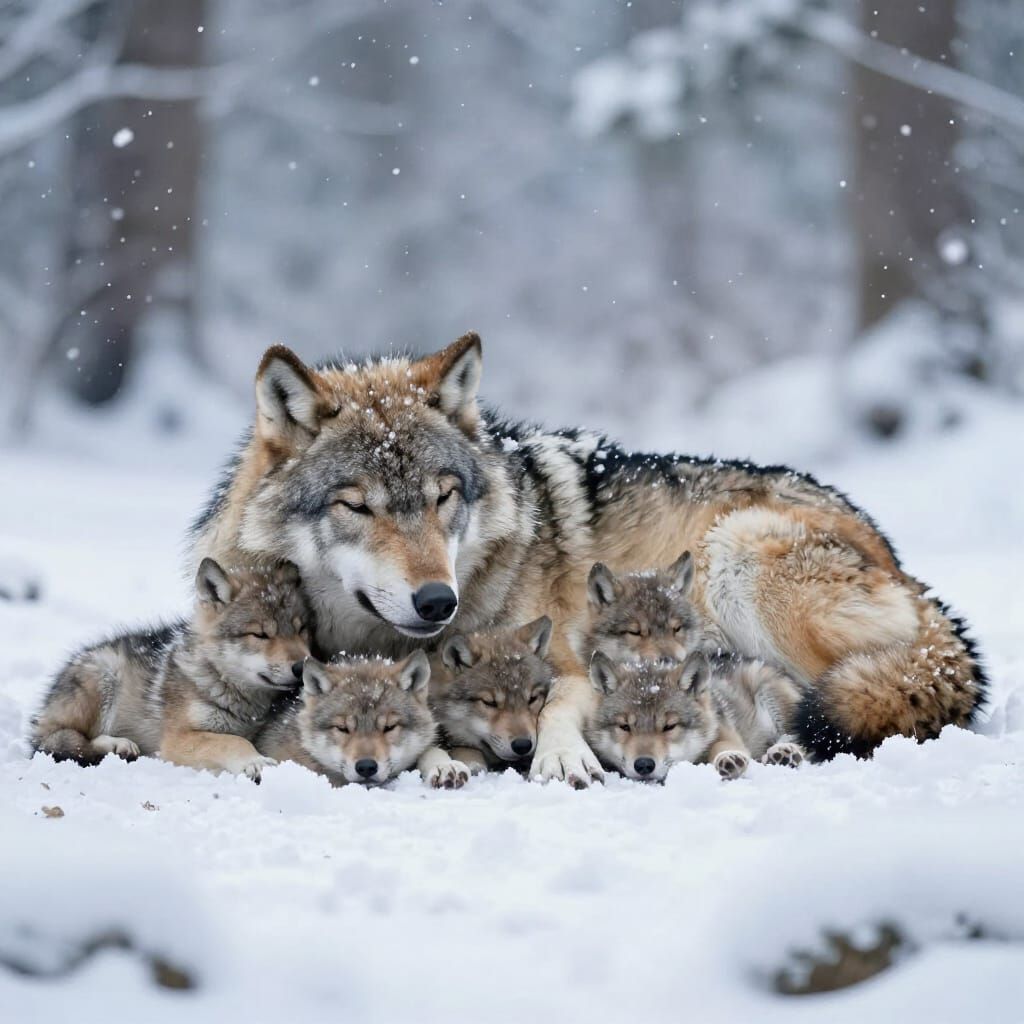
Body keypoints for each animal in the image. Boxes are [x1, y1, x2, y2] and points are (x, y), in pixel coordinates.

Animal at [31, 559, 310, 780]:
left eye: (301, 629)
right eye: (260, 634)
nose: (302, 666)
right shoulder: (178, 739)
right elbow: (232, 741)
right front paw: (256, 762)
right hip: (105, 673)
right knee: (59, 740)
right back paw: (118, 745)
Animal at [586, 651, 805, 782]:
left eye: (669, 726)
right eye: (625, 726)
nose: (644, 765)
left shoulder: (724, 734)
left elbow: (722, 747)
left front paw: (728, 758)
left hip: (766, 689)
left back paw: (783, 751)